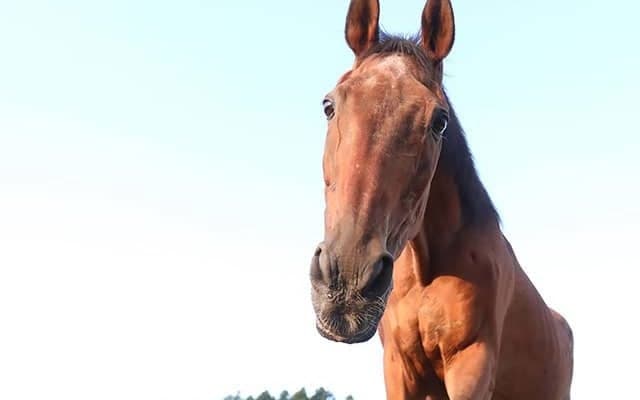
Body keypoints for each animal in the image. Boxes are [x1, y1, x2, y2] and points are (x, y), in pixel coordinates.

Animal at [308, 0, 574, 398]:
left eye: (439, 121)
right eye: (329, 106)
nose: (349, 283)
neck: (426, 273)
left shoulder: (472, 362)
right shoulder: (399, 368)